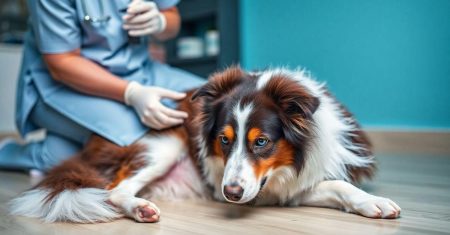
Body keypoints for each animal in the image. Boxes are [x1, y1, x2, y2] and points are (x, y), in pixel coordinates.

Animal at [8, 65, 400, 222]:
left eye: (261, 142)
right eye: (223, 140)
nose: (230, 194)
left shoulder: (281, 186)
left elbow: (336, 185)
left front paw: (373, 203)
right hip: (163, 144)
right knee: (113, 190)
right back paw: (140, 209)